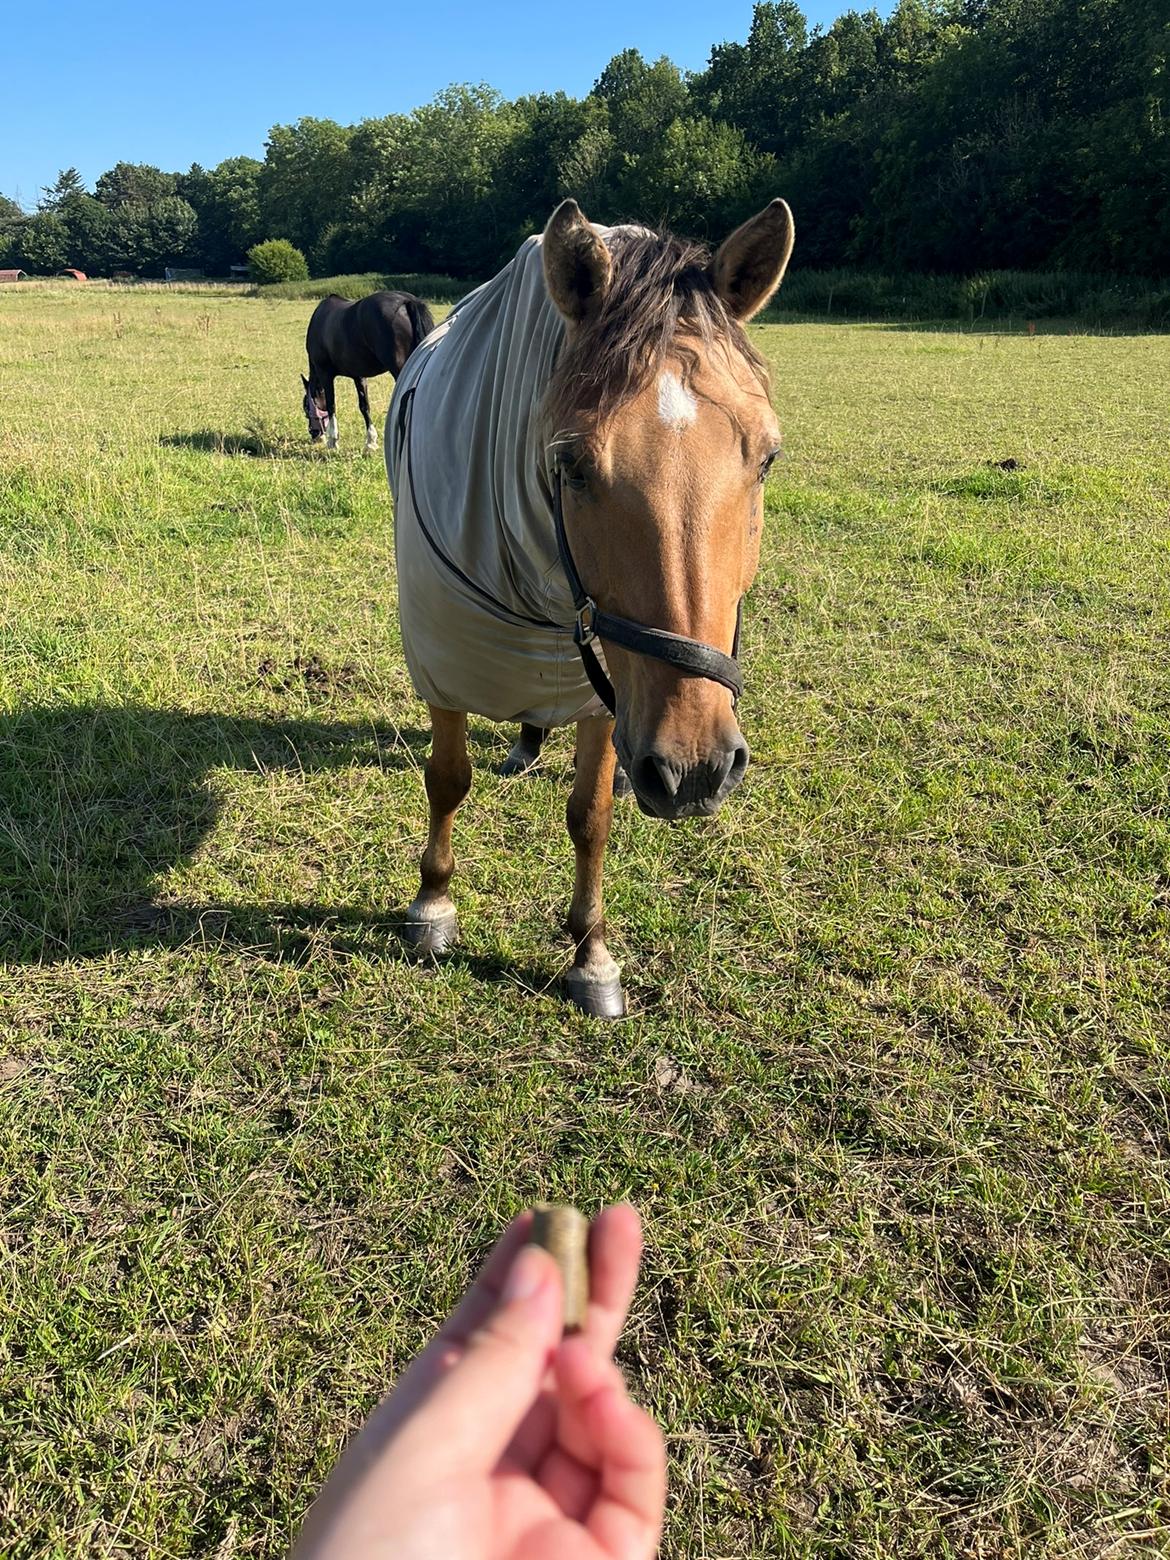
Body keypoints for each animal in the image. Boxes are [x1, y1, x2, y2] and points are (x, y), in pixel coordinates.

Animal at [304, 291, 436, 452]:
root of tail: (406, 301)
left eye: (306, 408)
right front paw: (370, 442)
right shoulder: (358, 376)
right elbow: (364, 406)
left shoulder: (325, 374)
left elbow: (331, 405)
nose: (314, 434)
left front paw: (333, 441)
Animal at [386, 195, 798, 1017]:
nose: (696, 768)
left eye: (765, 459)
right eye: (571, 464)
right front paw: (433, 904)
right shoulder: (444, 658)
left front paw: (591, 953)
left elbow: (592, 816)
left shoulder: (607, 695)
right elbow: (447, 779)